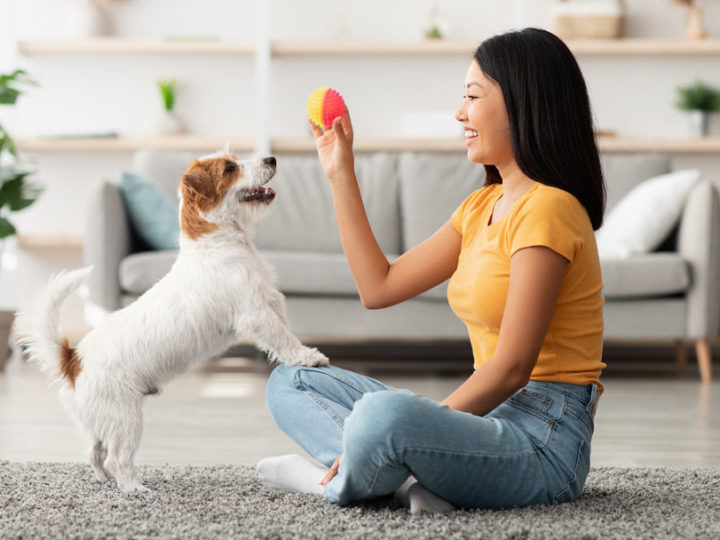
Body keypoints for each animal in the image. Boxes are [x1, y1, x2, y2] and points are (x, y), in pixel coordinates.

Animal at [15, 150, 330, 492]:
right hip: (126, 418)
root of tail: (72, 359)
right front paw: (309, 357)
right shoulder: (256, 314)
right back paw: (134, 489)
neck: (217, 243)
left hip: (103, 420)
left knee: (95, 452)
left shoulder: (272, 302)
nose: (272, 158)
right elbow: (283, 338)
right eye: (229, 168)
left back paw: (105, 479)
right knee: (116, 458)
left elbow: (285, 330)